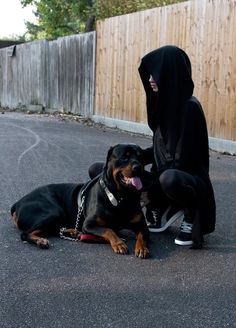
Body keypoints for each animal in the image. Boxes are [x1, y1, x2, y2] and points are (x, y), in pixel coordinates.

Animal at [10, 144, 149, 258]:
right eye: (124, 157)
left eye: (141, 157)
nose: (138, 166)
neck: (121, 196)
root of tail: (17, 203)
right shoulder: (89, 224)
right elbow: (108, 230)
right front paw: (118, 243)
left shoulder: (141, 224)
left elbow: (142, 234)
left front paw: (142, 248)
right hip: (53, 211)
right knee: (26, 233)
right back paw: (42, 240)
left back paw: (73, 232)